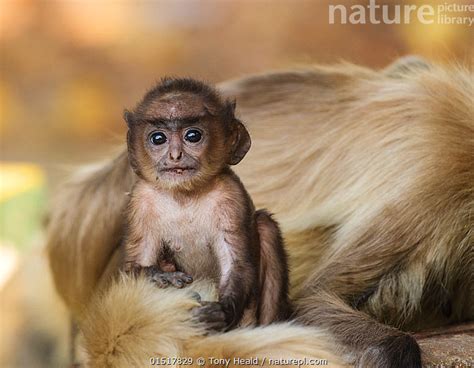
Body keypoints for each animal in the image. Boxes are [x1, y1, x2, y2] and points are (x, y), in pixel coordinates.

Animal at [122, 77, 290, 330]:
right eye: (158, 138)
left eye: (193, 136)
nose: (175, 156)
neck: (184, 196)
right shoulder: (140, 200)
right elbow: (133, 268)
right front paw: (160, 275)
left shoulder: (231, 195)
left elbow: (236, 264)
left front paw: (221, 313)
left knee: (265, 225)